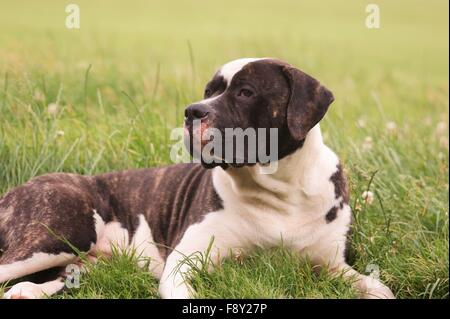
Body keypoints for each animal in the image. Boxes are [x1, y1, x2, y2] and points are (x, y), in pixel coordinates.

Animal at [0, 58, 394, 300]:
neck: (278, 191)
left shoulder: (332, 264)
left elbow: (378, 288)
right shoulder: (182, 265)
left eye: (246, 92)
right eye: (208, 92)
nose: (192, 111)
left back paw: (28, 291)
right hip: (59, 233)